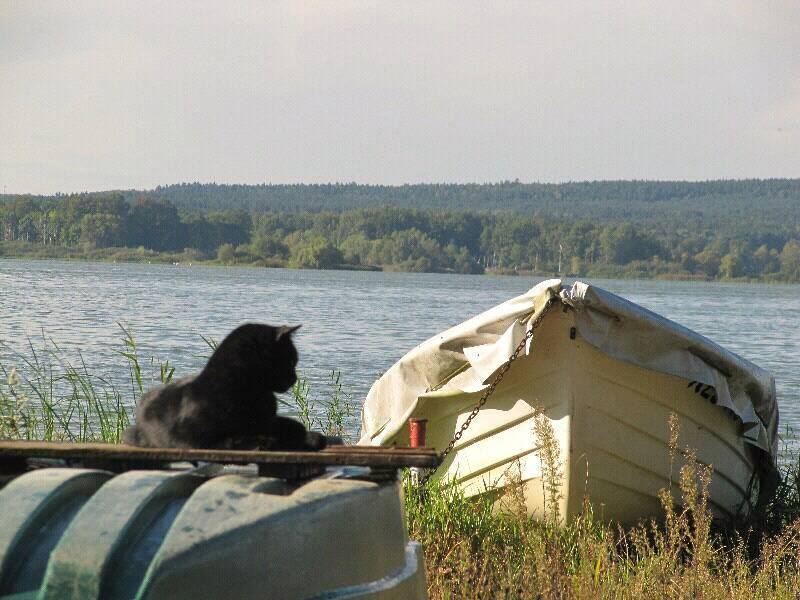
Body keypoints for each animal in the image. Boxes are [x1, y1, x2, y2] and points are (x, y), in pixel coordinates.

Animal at [123, 324, 324, 450]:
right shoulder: (188, 439)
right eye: (292, 361)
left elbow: (292, 426)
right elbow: (232, 439)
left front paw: (309, 437)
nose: (294, 378)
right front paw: (261, 442)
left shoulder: (268, 421)